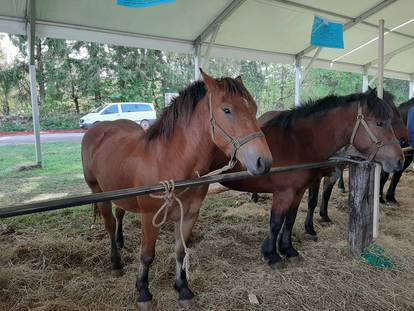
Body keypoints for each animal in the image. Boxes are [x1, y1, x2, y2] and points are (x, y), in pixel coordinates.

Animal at [82, 70, 274, 308]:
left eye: (254, 109)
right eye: (227, 110)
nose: (263, 161)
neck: (170, 160)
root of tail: (98, 129)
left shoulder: (189, 215)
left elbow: (180, 251)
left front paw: (182, 288)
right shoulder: (150, 217)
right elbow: (147, 255)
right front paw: (143, 291)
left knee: (119, 214)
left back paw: (121, 241)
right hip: (99, 192)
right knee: (109, 224)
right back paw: (116, 262)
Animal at [210, 89, 404, 268]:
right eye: (379, 123)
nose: (399, 160)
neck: (298, 143)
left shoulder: (298, 191)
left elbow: (290, 219)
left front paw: (288, 250)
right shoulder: (284, 193)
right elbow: (276, 222)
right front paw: (271, 255)